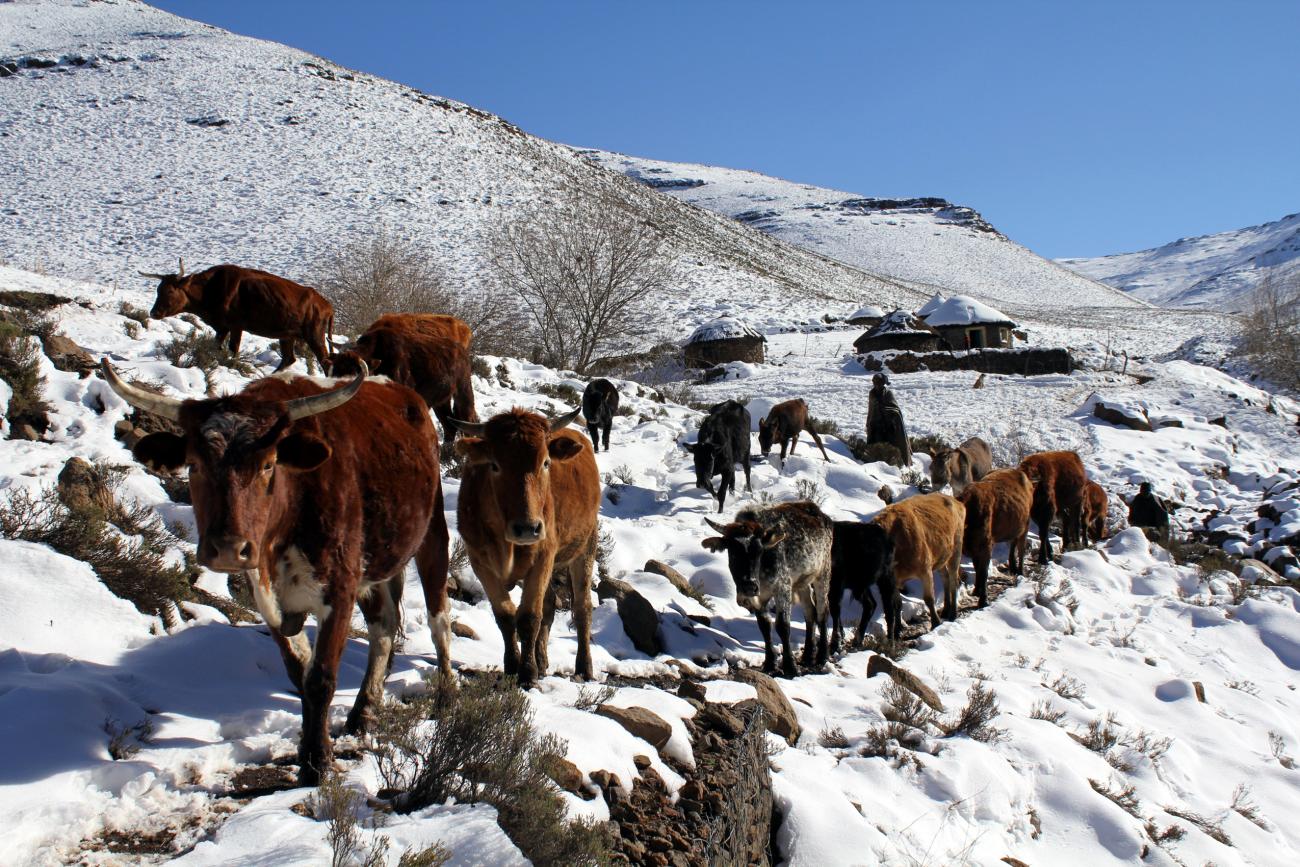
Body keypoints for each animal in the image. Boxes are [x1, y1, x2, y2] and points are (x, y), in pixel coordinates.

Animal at [98, 358, 449, 785]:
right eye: (194, 465)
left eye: (268, 465)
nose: (228, 548)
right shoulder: (267, 597)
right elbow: (299, 671)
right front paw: (309, 748)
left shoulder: (340, 588)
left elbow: (321, 677)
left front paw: (318, 761)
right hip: (377, 566)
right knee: (383, 628)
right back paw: (363, 711)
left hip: (432, 536)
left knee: (438, 619)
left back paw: (447, 696)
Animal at [826, 519, 899, 647]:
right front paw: (841, 637)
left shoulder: (836, 583)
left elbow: (835, 609)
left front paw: (836, 642)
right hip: (861, 585)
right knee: (873, 604)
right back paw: (858, 640)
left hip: (881, 578)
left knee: (888, 608)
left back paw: (890, 643)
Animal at [951, 470, 1029, 608]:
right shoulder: (974, 549)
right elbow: (977, 568)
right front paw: (976, 591)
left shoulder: (986, 546)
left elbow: (983, 572)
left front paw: (984, 600)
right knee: (1013, 543)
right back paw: (1013, 568)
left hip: (1025, 526)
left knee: (1021, 548)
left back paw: (1020, 571)